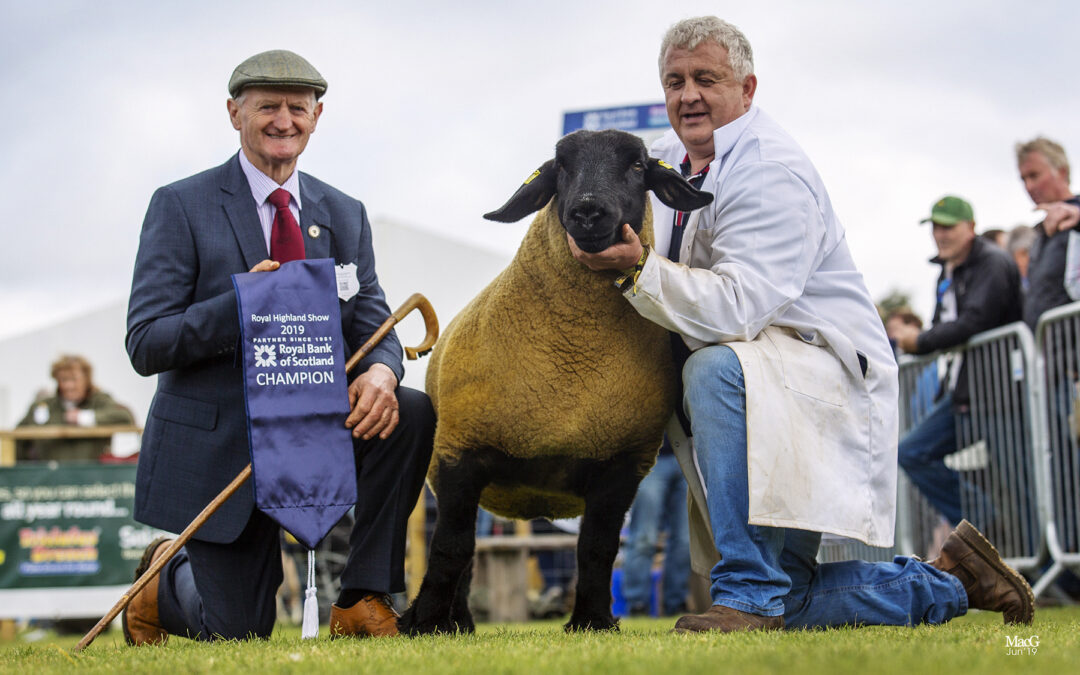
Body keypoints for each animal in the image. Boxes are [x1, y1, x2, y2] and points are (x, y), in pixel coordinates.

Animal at [401, 129, 712, 635]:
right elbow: (448, 548)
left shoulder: (621, 463)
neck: (569, 368)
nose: (587, 212)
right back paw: (457, 622)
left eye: (638, 165)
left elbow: (598, 548)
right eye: (561, 166)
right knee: (464, 551)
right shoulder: (459, 452)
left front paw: (593, 621)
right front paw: (421, 623)